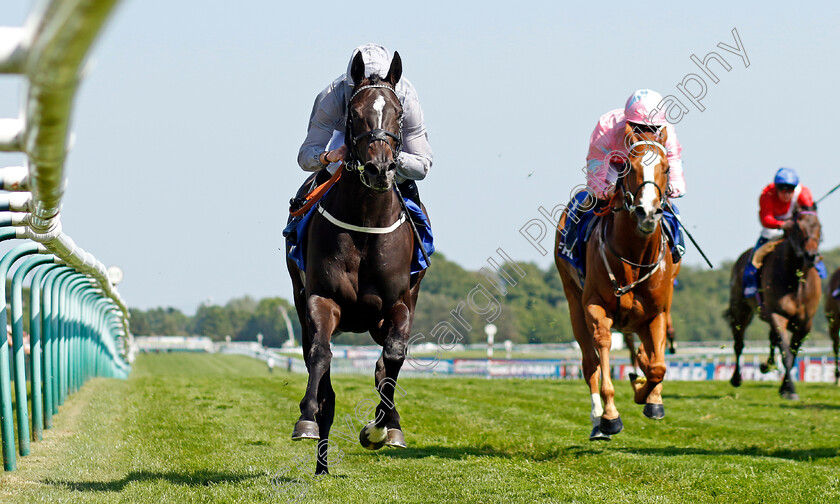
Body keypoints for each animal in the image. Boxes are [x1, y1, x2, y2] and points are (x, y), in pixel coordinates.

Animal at [288, 49, 424, 474]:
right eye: (355, 113)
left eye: (398, 112)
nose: (380, 168)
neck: (365, 223)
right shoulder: (322, 300)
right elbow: (321, 358)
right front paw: (306, 418)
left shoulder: (398, 304)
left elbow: (393, 359)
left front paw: (379, 430)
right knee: (321, 364)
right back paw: (321, 464)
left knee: (385, 364)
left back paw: (390, 426)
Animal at [556, 123, 680, 440]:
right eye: (628, 166)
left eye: (666, 167)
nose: (647, 212)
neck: (634, 257)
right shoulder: (595, 306)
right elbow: (602, 349)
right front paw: (610, 416)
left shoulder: (657, 312)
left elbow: (658, 366)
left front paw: (649, 396)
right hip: (573, 302)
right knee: (590, 363)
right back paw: (597, 421)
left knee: (647, 351)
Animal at [724, 209, 824, 398]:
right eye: (797, 227)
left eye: (819, 226)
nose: (811, 256)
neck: (796, 282)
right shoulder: (777, 314)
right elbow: (786, 354)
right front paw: (790, 389)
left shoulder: (805, 323)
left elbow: (791, 353)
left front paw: (784, 387)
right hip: (740, 309)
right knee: (739, 343)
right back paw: (736, 378)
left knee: (771, 339)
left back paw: (766, 365)